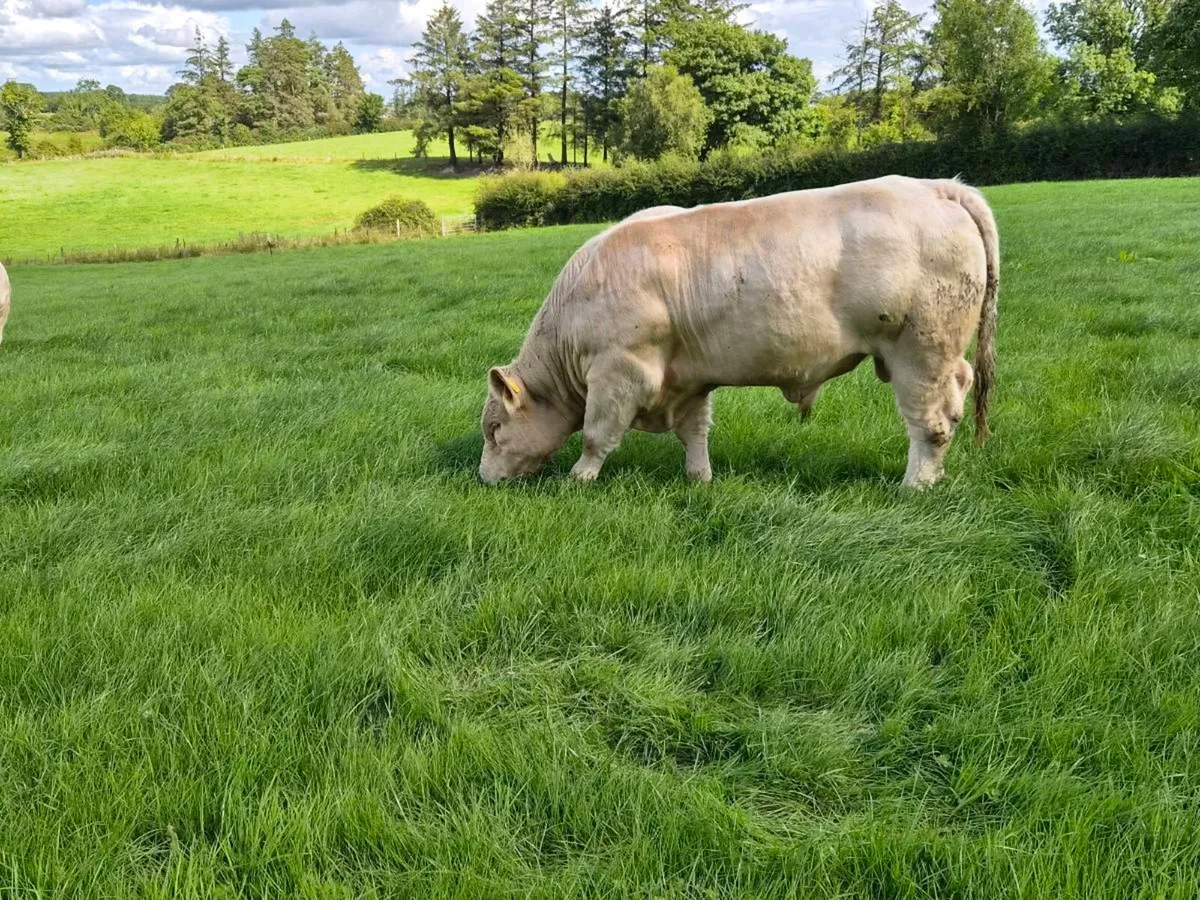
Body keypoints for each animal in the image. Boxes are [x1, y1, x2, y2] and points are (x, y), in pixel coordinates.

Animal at [478, 175, 999, 488]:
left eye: (494, 428)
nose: (484, 479)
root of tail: (938, 188)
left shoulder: (620, 371)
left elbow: (595, 434)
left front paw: (579, 479)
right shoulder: (686, 379)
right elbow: (695, 432)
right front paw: (700, 479)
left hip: (921, 351)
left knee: (930, 422)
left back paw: (915, 485)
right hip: (936, 355)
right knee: (958, 394)